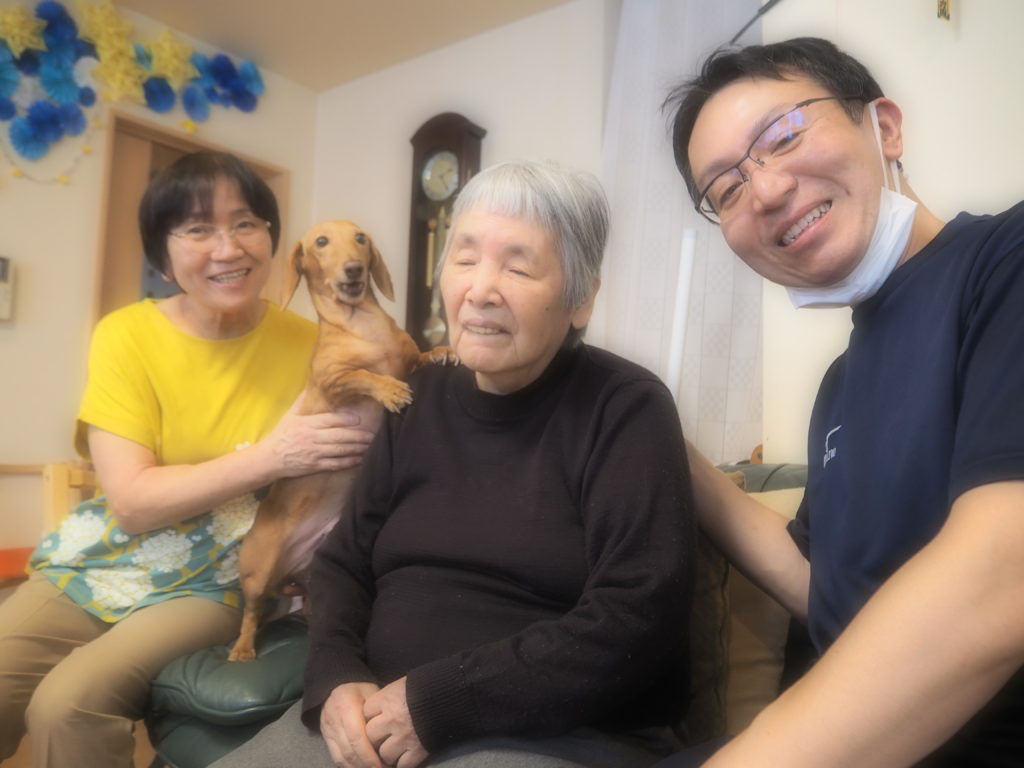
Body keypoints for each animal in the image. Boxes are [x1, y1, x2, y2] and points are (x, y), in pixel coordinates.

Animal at [228, 220, 455, 661]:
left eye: (361, 239)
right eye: (320, 242)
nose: (354, 269)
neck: (362, 324)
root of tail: (293, 571)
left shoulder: (407, 359)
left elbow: (419, 357)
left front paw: (445, 350)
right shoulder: (333, 383)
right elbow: (364, 376)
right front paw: (390, 390)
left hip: (316, 571)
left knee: (312, 605)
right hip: (258, 569)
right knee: (251, 610)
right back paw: (243, 648)